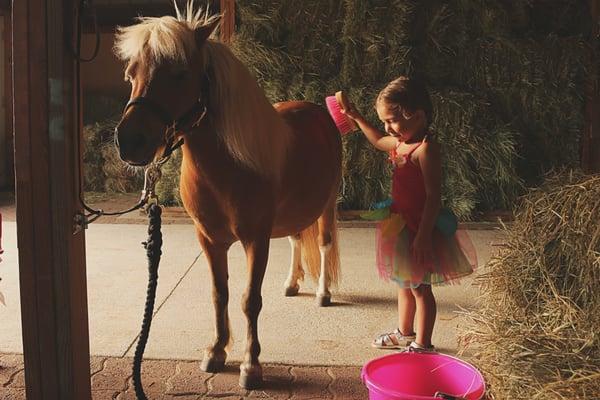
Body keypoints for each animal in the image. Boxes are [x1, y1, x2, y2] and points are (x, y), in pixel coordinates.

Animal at [112, 2, 342, 390]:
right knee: (297, 239)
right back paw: (292, 284)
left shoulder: (255, 241)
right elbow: (220, 293)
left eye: (179, 74)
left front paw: (251, 365)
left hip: (327, 206)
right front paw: (216, 351)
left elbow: (250, 300)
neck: (229, 167)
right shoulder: (209, 240)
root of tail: (317, 111)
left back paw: (323, 294)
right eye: (131, 74)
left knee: (324, 244)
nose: (129, 141)